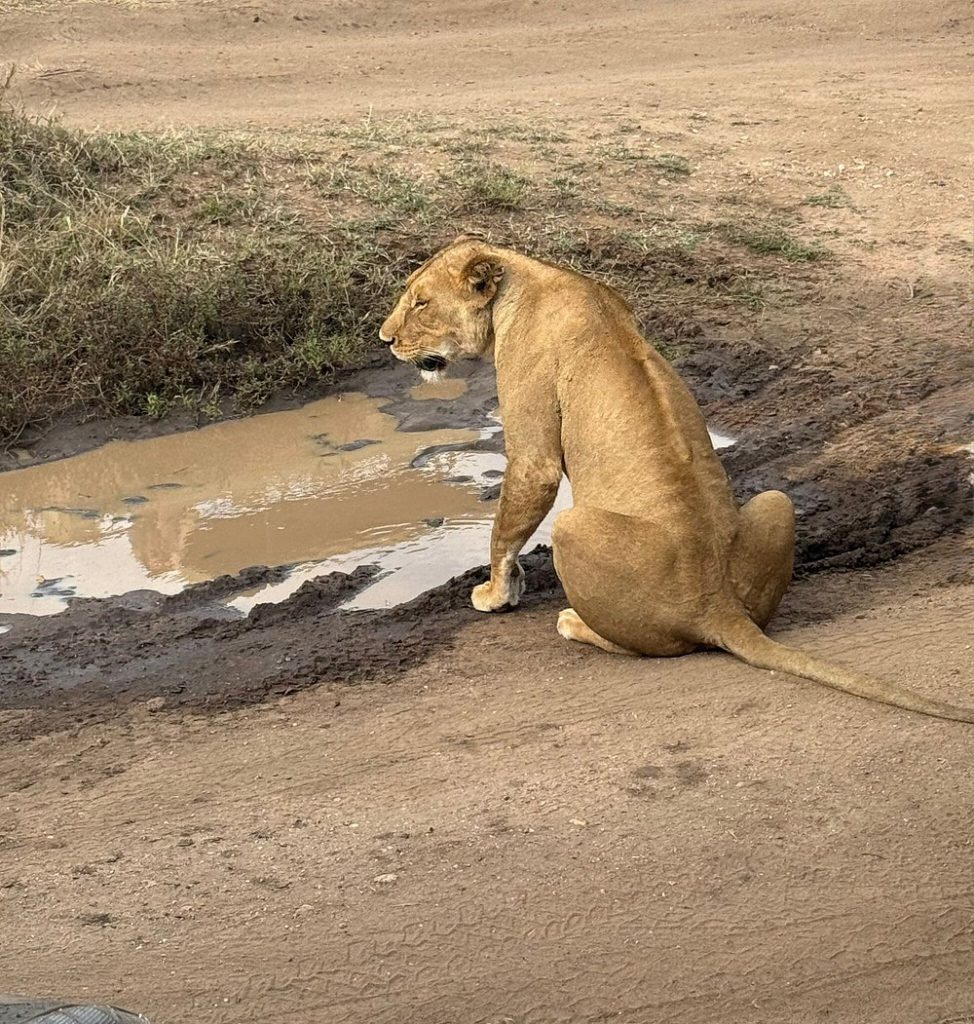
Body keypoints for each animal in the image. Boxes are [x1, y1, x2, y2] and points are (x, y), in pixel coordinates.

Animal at [380, 236, 974, 723]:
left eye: (421, 302)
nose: (385, 340)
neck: (528, 278)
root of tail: (717, 606)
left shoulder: (534, 451)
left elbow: (506, 525)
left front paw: (495, 594)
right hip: (776, 502)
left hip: (573, 527)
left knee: (643, 644)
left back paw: (573, 622)